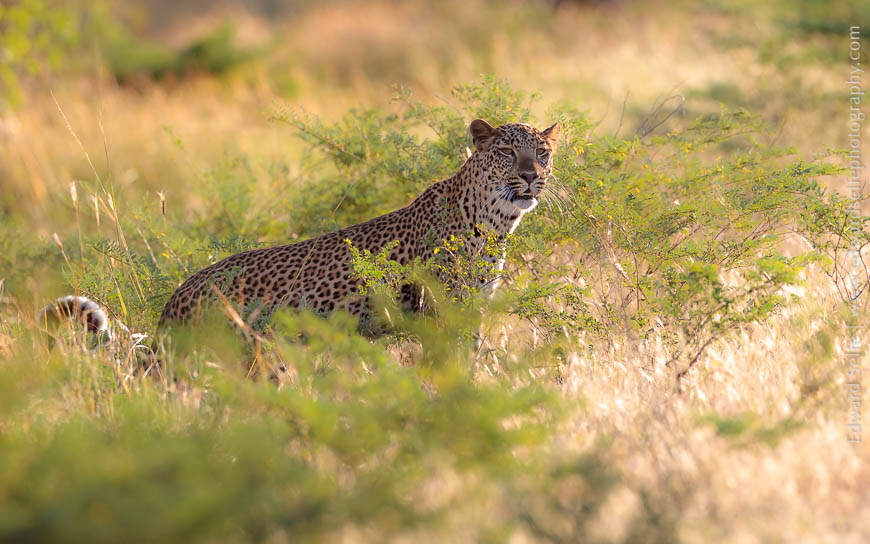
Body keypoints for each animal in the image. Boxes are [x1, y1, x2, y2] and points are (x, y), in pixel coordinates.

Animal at [41, 119, 560, 341]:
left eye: (543, 152)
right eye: (507, 152)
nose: (531, 176)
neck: (495, 223)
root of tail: (175, 300)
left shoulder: (473, 308)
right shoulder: (439, 310)